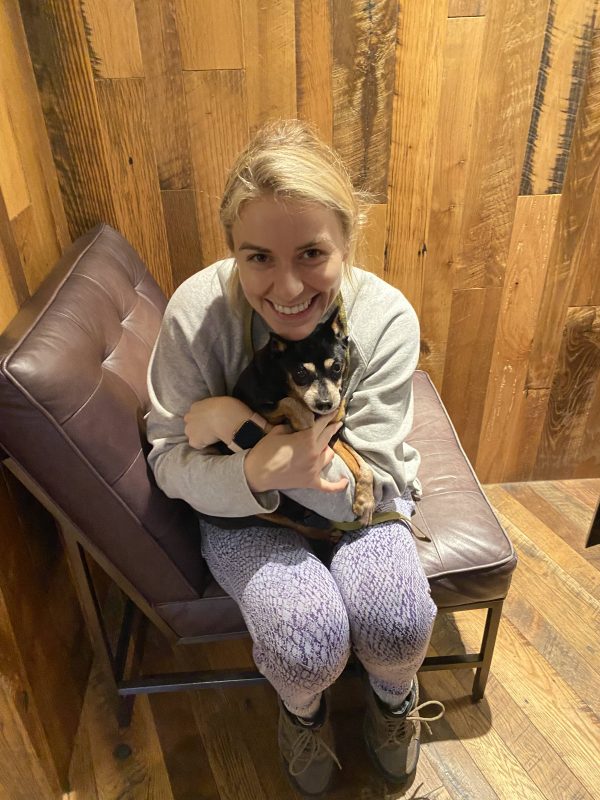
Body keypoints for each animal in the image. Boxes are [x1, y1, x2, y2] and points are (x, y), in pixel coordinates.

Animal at [232, 306, 372, 544]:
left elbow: (363, 465)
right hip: (262, 511)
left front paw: (366, 501)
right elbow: (289, 402)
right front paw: (304, 420)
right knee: (296, 526)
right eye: (300, 373)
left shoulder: (331, 436)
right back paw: (327, 534)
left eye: (337, 367)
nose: (325, 404)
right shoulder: (258, 406)